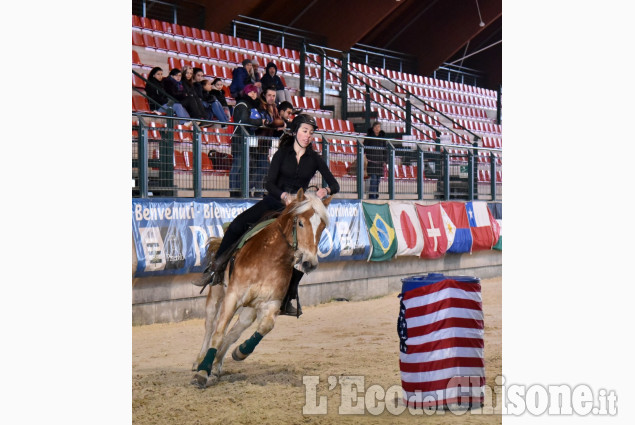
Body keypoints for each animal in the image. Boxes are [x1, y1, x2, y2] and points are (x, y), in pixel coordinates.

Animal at [190, 187, 332, 386]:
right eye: (301, 223)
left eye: (322, 227)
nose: (310, 263)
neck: (269, 257)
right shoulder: (232, 296)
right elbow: (218, 333)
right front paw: (203, 372)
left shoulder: (271, 303)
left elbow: (264, 327)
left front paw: (240, 352)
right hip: (217, 293)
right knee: (210, 325)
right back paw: (199, 361)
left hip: (249, 310)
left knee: (233, 332)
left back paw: (217, 365)